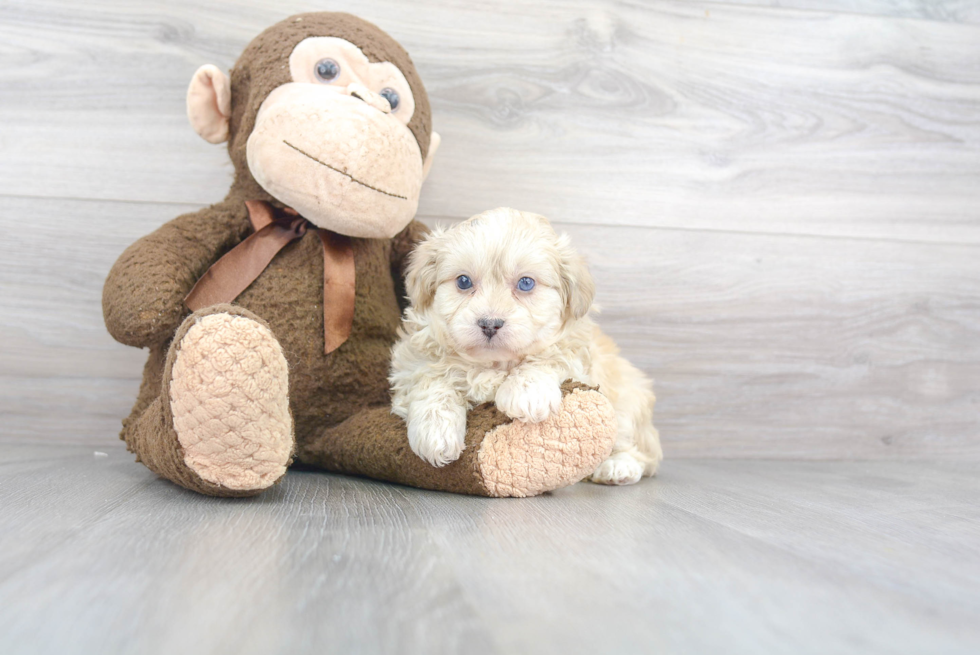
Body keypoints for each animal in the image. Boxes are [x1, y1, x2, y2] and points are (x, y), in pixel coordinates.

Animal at [386, 208, 664, 484]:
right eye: (463, 281)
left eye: (526, 283)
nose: (490, 324)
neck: (493, 363)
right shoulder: (412, 363)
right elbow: (431, 379)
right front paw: (435, 431)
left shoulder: (576, 350)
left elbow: (550, 356)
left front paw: (526, 392)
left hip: (628, 400)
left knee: (639, 449)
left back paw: (618, 466)